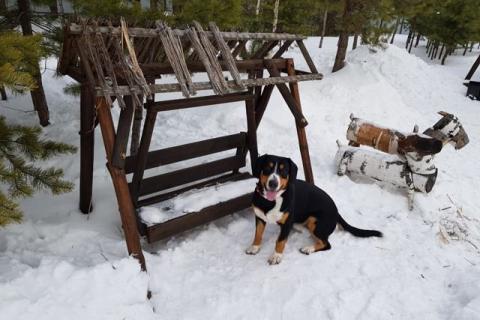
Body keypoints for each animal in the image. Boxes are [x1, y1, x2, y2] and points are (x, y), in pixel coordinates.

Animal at [248, 155, 382, 264]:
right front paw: (254, 247)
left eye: (284, 170)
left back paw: (308, 248)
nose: (273, 183)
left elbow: (280, 241)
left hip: (315, 222)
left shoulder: (286, 223)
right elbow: (258, 234)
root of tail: (337, 212)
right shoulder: (259, 217)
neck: (270, 201)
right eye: (267, 168)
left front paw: (276, 256)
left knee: (326, 244)